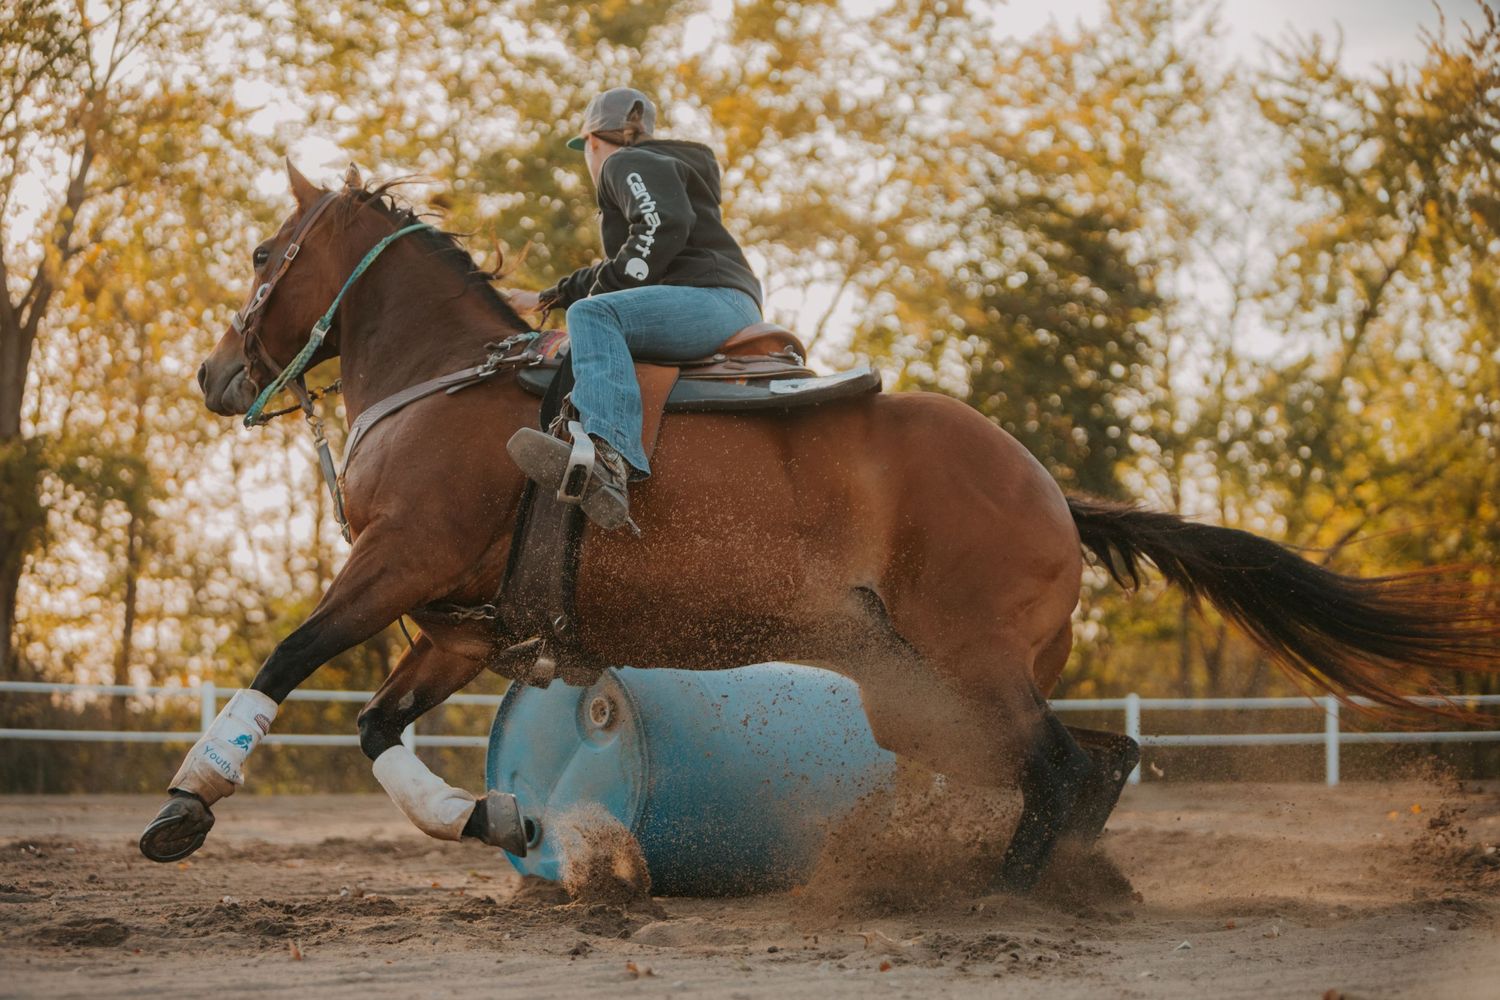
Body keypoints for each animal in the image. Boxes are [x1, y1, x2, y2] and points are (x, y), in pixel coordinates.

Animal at [142, 161, 1500, 890]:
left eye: (263, 251)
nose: (213, 374)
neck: (453, 383)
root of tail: (1046, 483)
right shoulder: (461, 626)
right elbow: (376, 727)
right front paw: (499, 817)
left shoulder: (395, 565)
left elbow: (284, 659)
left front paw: (187, 800)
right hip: (922, 692)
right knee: (1092, 758)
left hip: (968, 665)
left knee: (1064, 765)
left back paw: (1003, 897)